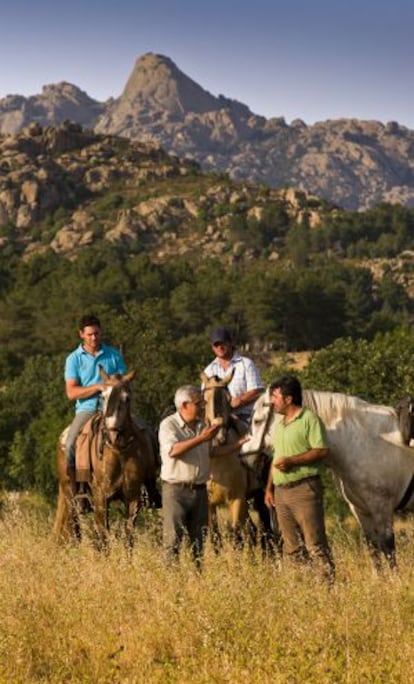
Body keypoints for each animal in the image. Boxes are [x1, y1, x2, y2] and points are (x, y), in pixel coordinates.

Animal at [53, 366, 158, 548]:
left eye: (127, 398)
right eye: (103, 396)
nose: (113, 433)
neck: (119, 451)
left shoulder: (132, 498)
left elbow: (128, 537)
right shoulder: (101, 497)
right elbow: (103, 537)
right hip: (69, 494)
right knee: (75, 528)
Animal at [241, 388, 414, 568]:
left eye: (257, 421)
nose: (244, 458)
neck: (365, 442)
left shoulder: (382, 507)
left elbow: (388, 549)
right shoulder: (361, 510)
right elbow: (373, 550)